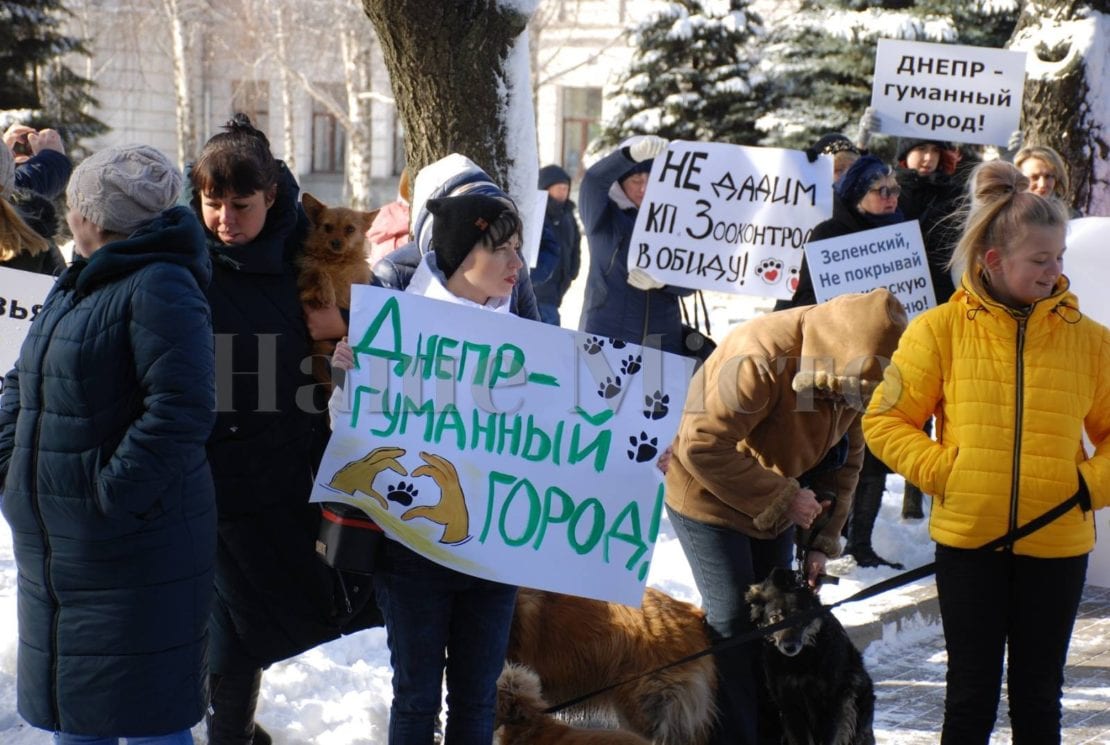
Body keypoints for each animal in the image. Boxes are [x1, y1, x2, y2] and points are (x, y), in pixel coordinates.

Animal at [745, 566, 874, 745]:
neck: (801, 660)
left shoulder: (833, 700)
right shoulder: (789, 703)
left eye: (799, 617)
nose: (789, 647)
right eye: (775, 618)